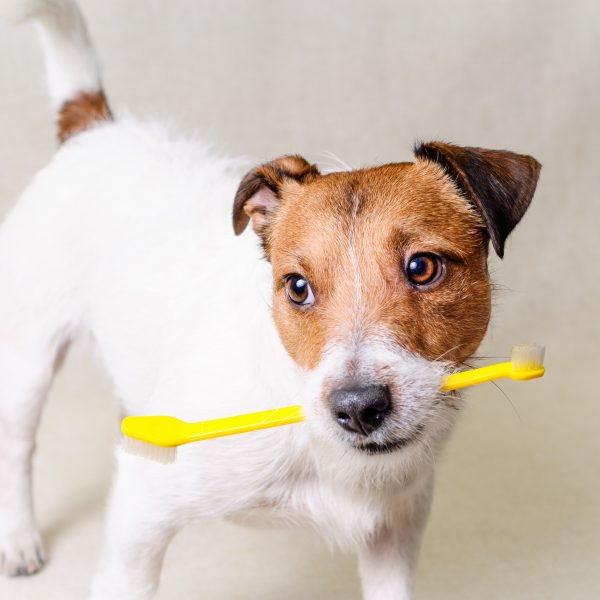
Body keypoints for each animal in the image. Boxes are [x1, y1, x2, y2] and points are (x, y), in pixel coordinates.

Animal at [0, 2, 544, 596]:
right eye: (298, 287)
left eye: (423, 268)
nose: (358, 408)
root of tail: (96, 128)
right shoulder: (142, 509)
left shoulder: (396, 529)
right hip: (29, 360)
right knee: (19, 446)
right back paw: (19, 539)